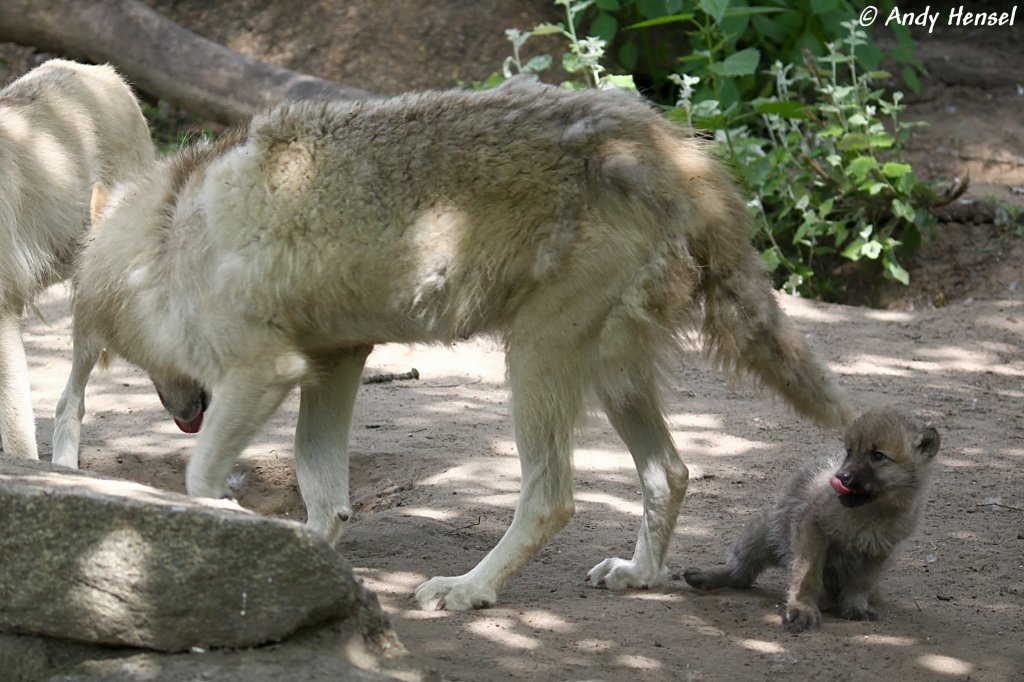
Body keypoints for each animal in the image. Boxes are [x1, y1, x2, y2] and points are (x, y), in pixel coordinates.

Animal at [58, 80, 856, 610]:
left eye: (106, 353)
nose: (180, 412)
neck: (168, 234)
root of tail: (671, 146)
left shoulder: (267, 370)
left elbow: (199, 478)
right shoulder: (333, 364)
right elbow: (323, 496)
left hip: (534, 356)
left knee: (553, 498)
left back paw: (469, 590)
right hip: (608, 371)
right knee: (672, 472)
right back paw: (637, 576)